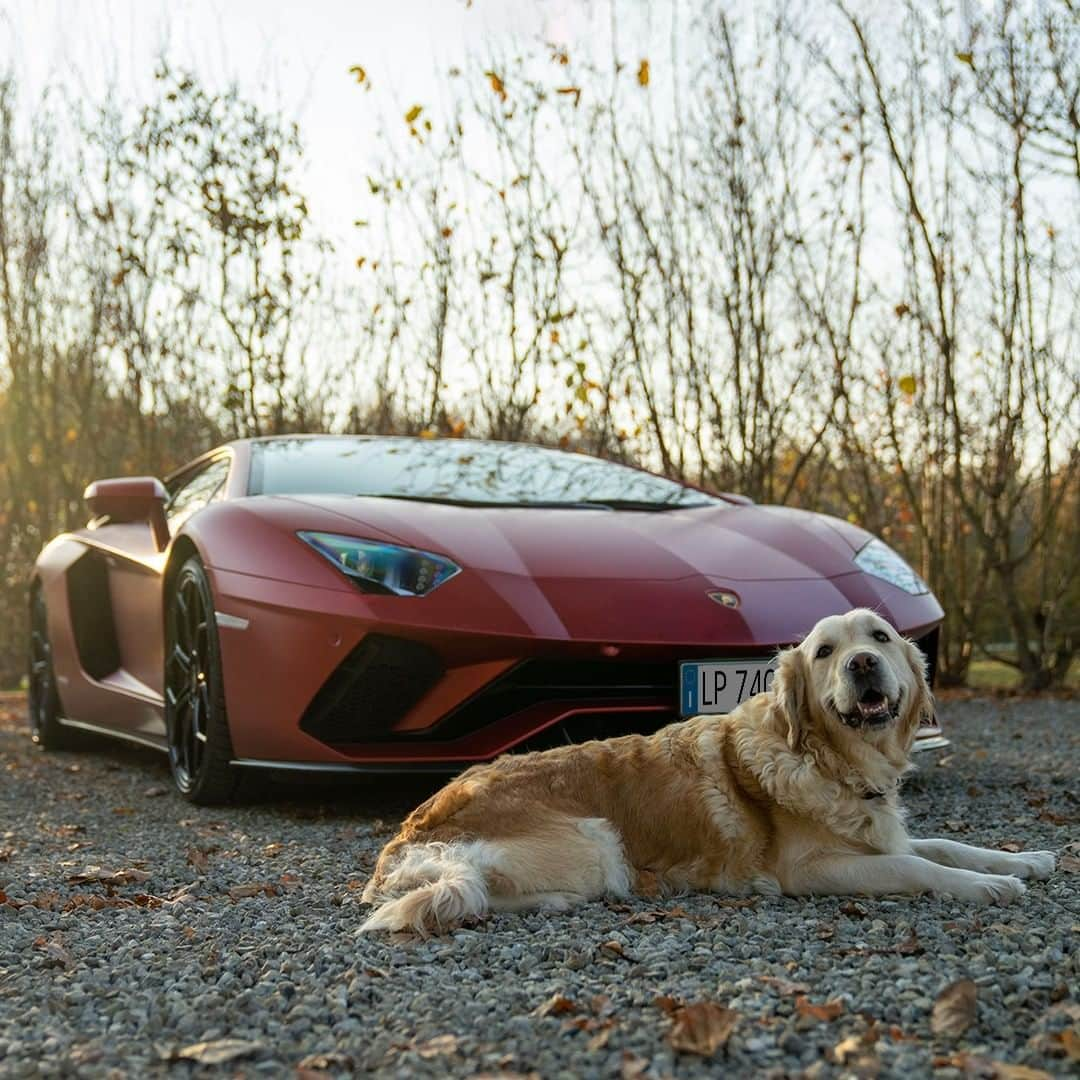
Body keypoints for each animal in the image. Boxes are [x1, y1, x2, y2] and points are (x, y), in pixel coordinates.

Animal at [362, 613, 1054, 933]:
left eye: (880, 637)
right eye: (825, 652)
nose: (862, 664)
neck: (826, 760)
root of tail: (407, 838)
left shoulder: (884, 833)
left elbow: (943, 844)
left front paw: (1026, 859)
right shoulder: (813, 870)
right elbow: (918, 866)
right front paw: (988, 886)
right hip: (594, 842)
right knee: (481, 892)